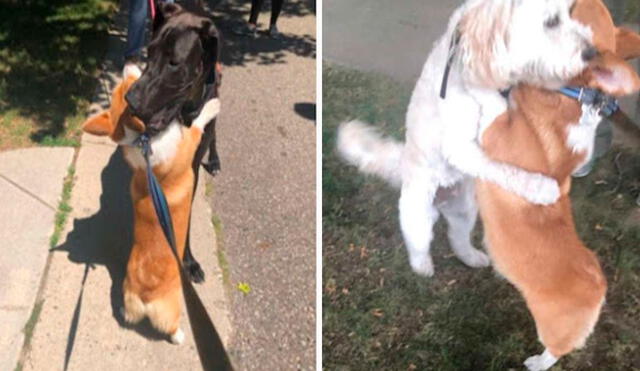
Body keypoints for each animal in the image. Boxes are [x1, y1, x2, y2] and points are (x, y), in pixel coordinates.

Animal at [338, 0, 592, 278]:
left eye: (570, 13)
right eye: (551, 22)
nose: (591, 53)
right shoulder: (461, 148)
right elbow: (503, 168)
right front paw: (540, 187)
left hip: (465, 210)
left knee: (457, 238)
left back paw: (472, 257)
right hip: (418, 215)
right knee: (418, 244)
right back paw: (423, 267)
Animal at [478, 1, 640, 370]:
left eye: (571, 11)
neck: (568, 95)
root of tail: (599, 288)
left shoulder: (496, 134)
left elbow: (493, 111)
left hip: (551, 330)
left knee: (556, 350)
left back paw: (536, 362)